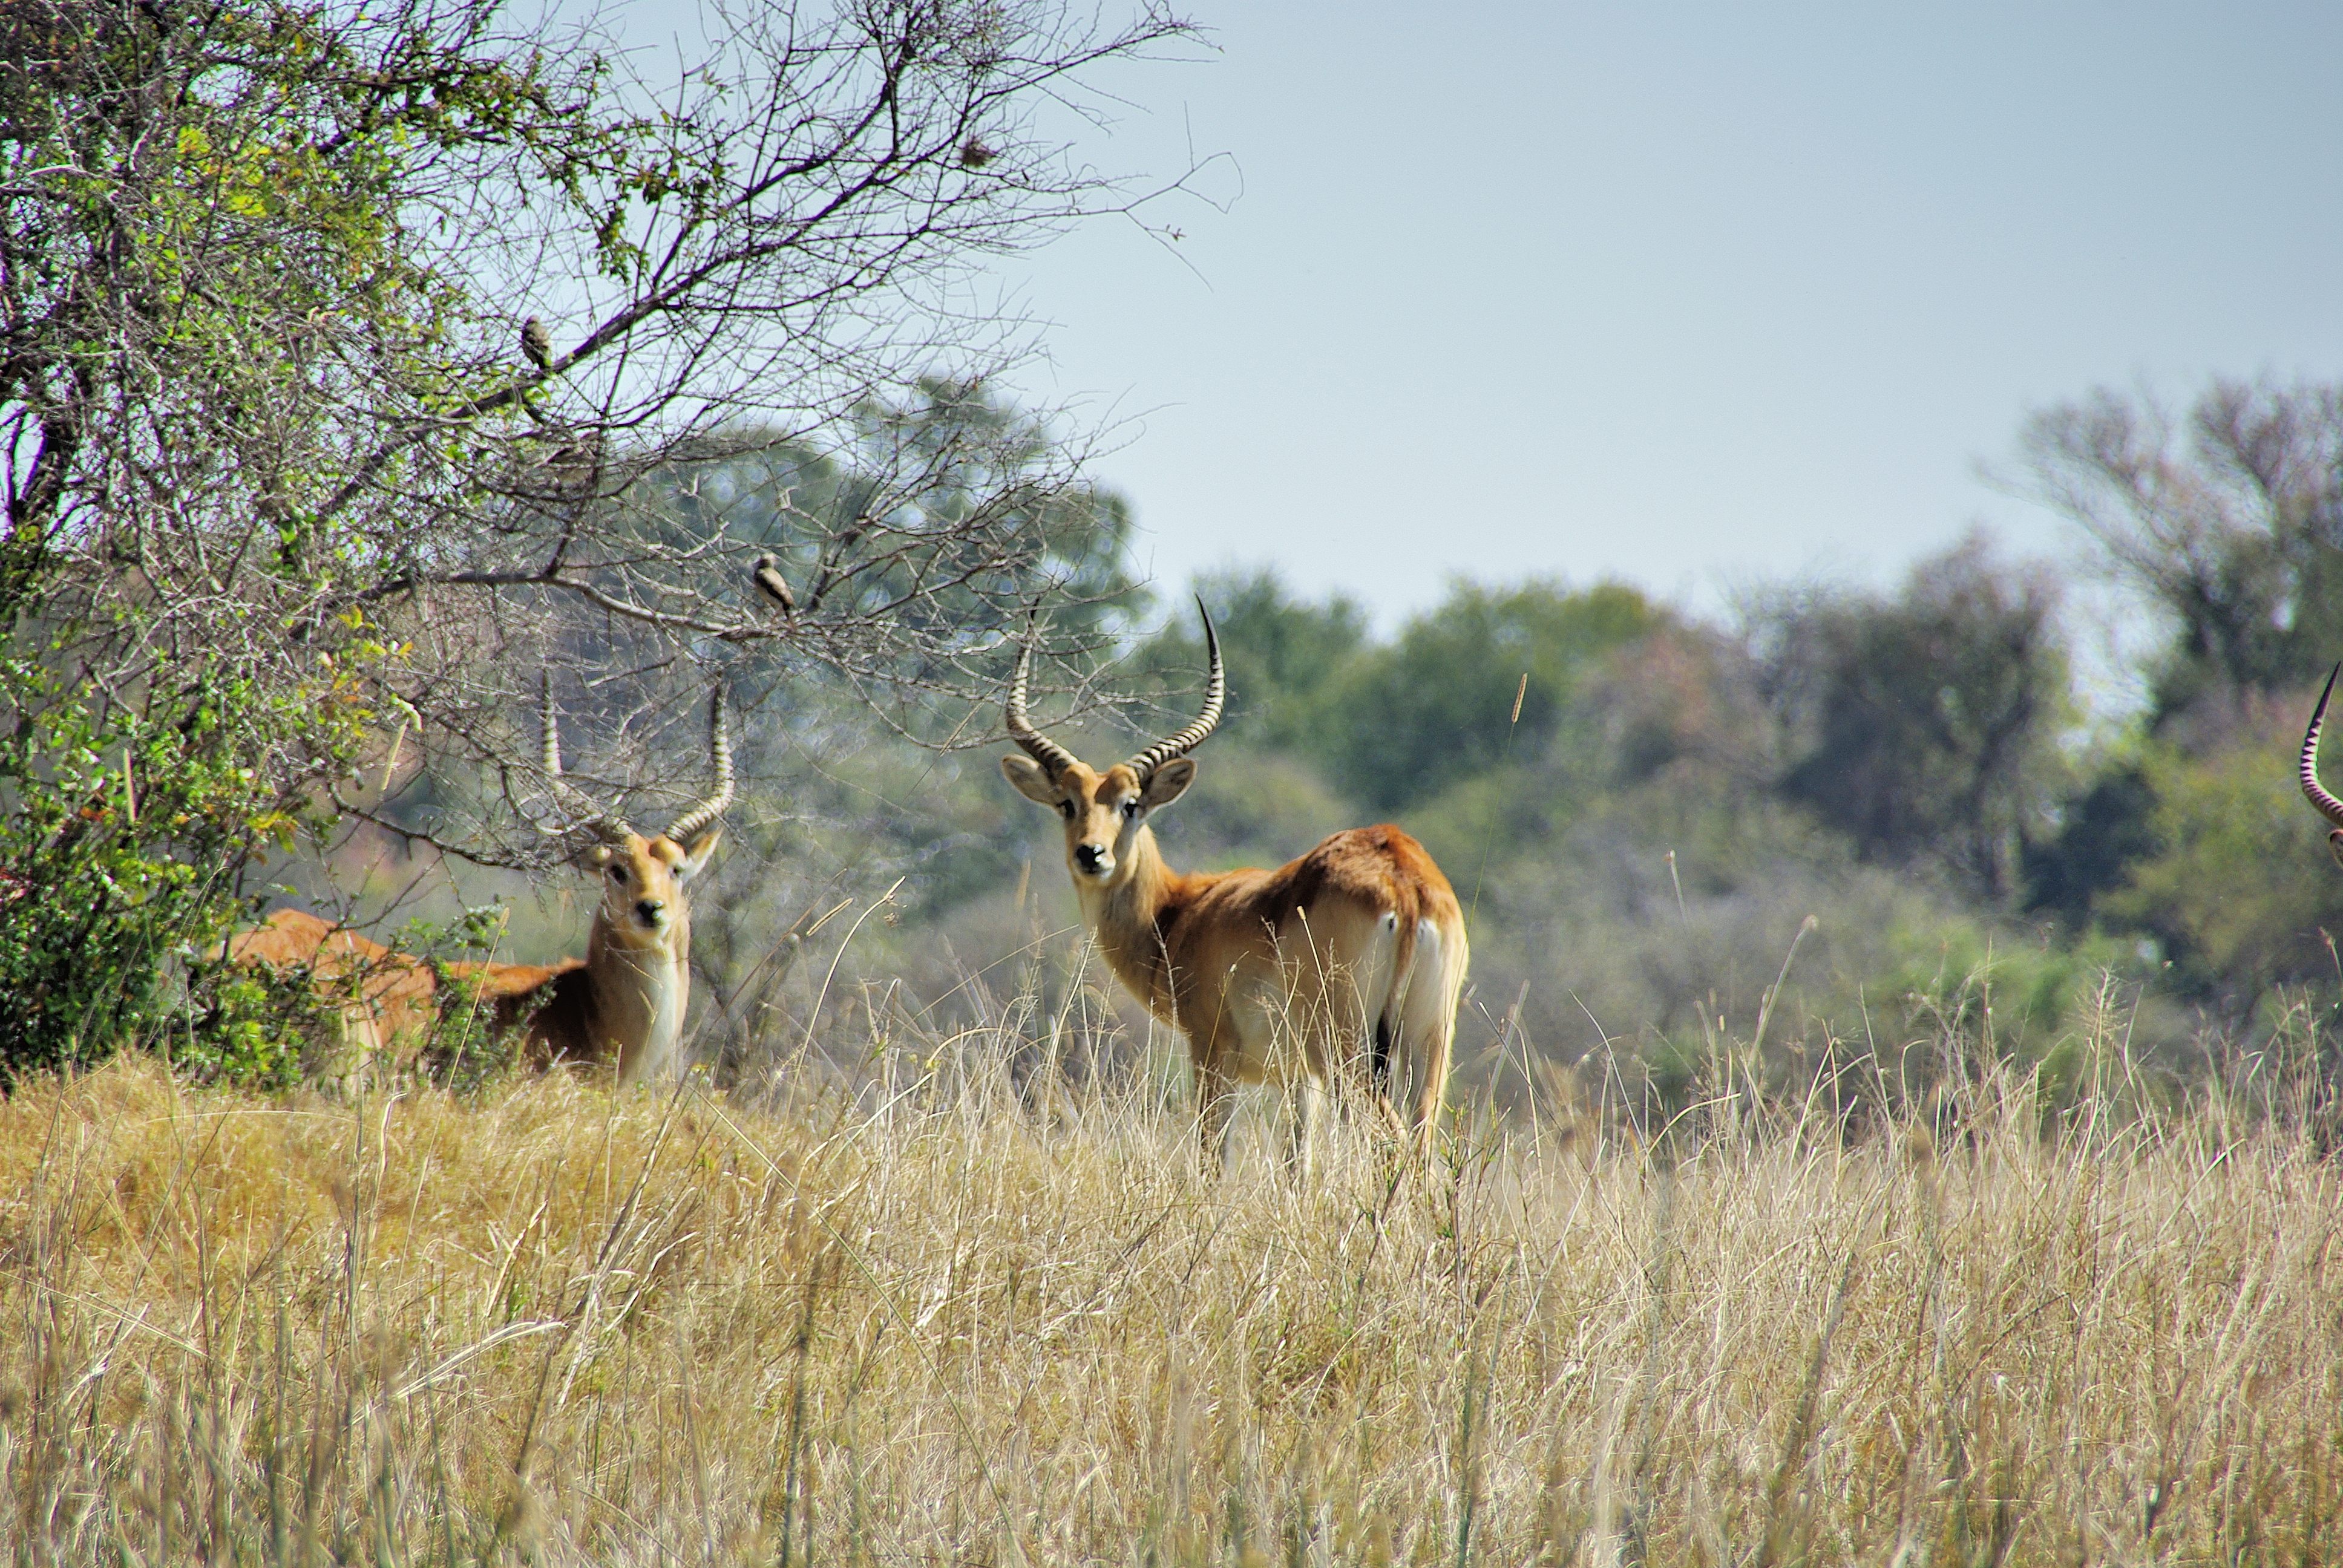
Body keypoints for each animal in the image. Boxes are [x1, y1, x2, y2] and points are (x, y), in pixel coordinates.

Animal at [1003, 599, 1462, 1162]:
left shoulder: (1210, 1051)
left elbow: (1210, 1156)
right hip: (1426, 1043)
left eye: (1131, 805)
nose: (1091, 854)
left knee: (1392, 1142)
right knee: (1422, 1148)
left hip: (1347, 1049)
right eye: (1067, 803)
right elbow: (1297, 1164)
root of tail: (1403, 878)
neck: (1179, 914)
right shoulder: (1298, 1081)